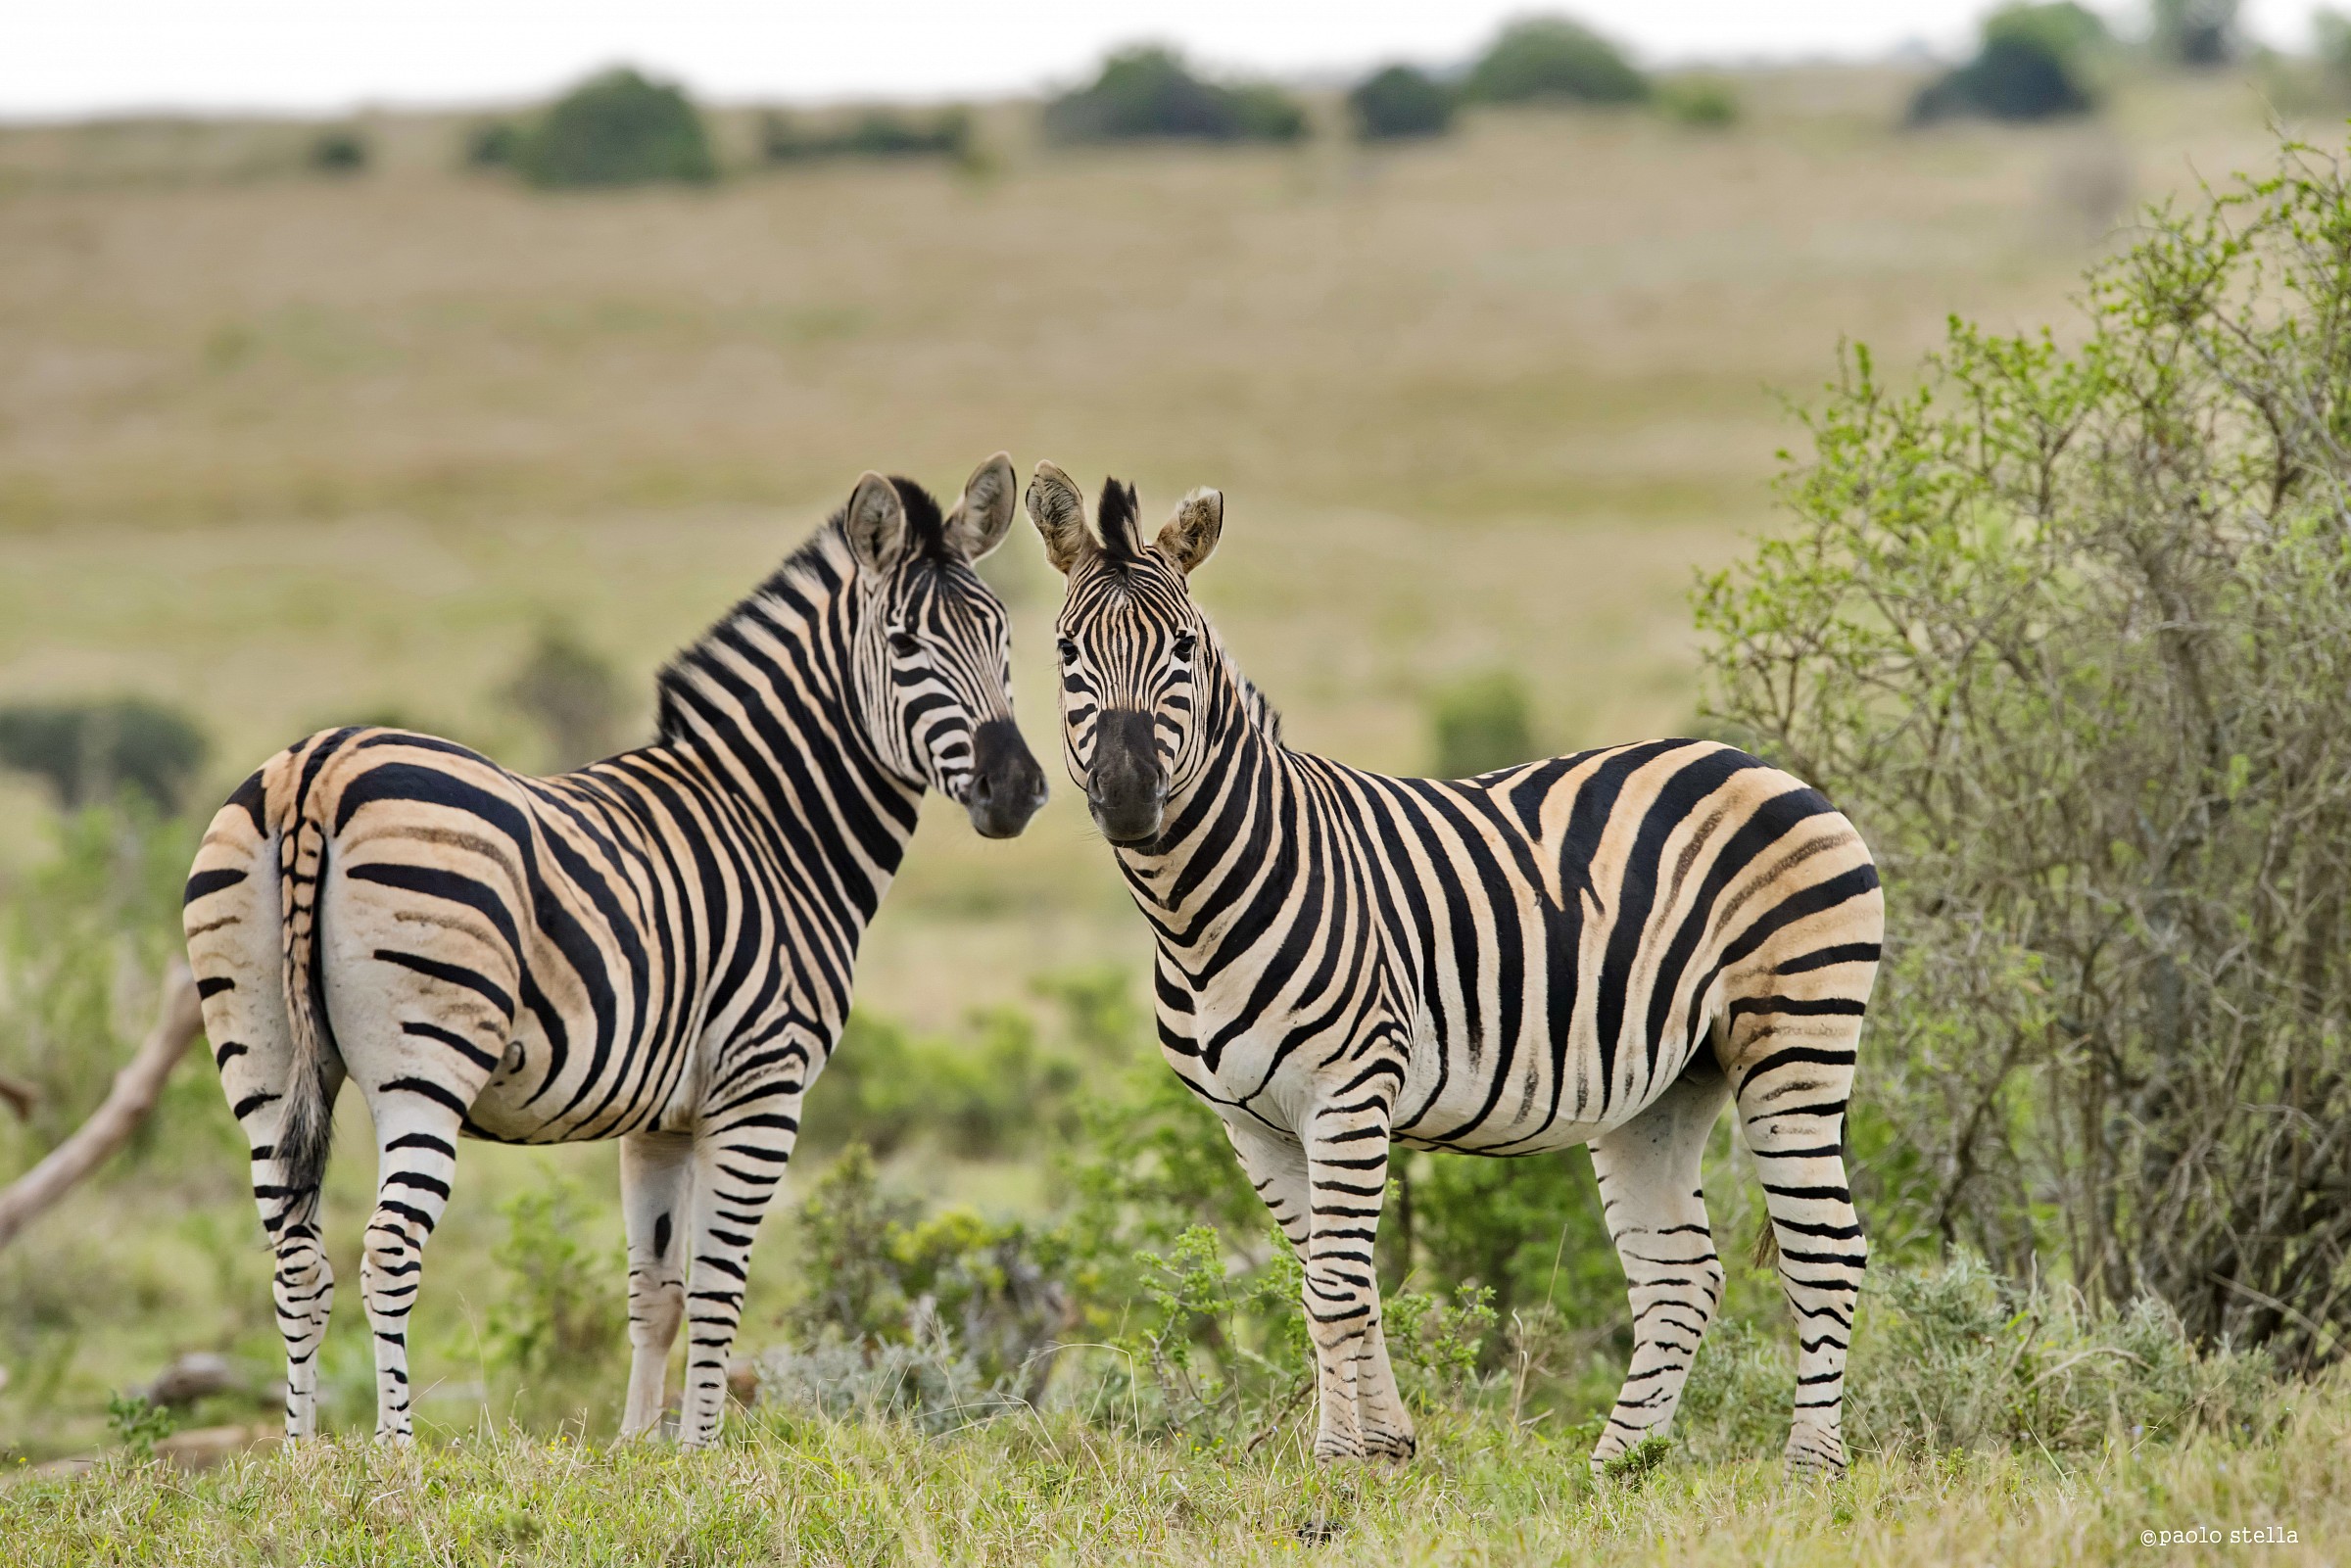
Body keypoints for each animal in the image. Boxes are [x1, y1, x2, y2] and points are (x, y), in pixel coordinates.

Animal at [182, 456, 1048, 1446]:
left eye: (1004, 635)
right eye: (904, 646)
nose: (1016, 790)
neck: (776, 823)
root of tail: (315, 767)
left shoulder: (659, 1116)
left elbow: (655, 1290)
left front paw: (641, 1447)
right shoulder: (762, 1084)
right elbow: (717, 1289)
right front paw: (705, 1449)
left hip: (259, 1054)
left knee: (296, 1258)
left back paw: (302, 1455)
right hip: (428, 1059)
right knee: (387, 1252)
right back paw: (395, 1453)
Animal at [1023, 463, 1881, 1475]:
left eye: (1185, 650)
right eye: (1068, 650)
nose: (1126, 799)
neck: (1196, 912)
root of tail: (1770, 770)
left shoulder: (1350, 1091)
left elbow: (1335, 1290)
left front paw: (1336, 1464)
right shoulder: (1251, 1122)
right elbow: (1333, 1280)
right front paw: (1385, 1444)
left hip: (1794, 1042)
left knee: (1827, 1253)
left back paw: (1809, 1468)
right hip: (1667, 1085)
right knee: (1681, 1271)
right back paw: (1615, 1469)